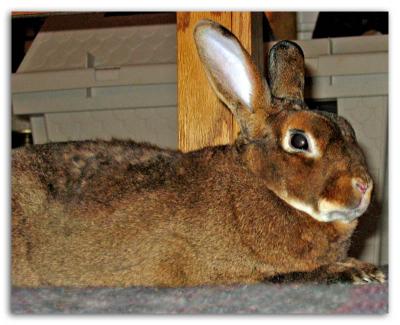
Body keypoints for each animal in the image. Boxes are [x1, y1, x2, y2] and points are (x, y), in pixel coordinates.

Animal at [11, 19, 384, 286]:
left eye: (348, 127)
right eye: (300, 141)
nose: (364, 187)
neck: (262, 185)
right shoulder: (240, 272)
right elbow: (297, 275)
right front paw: (360, 271)